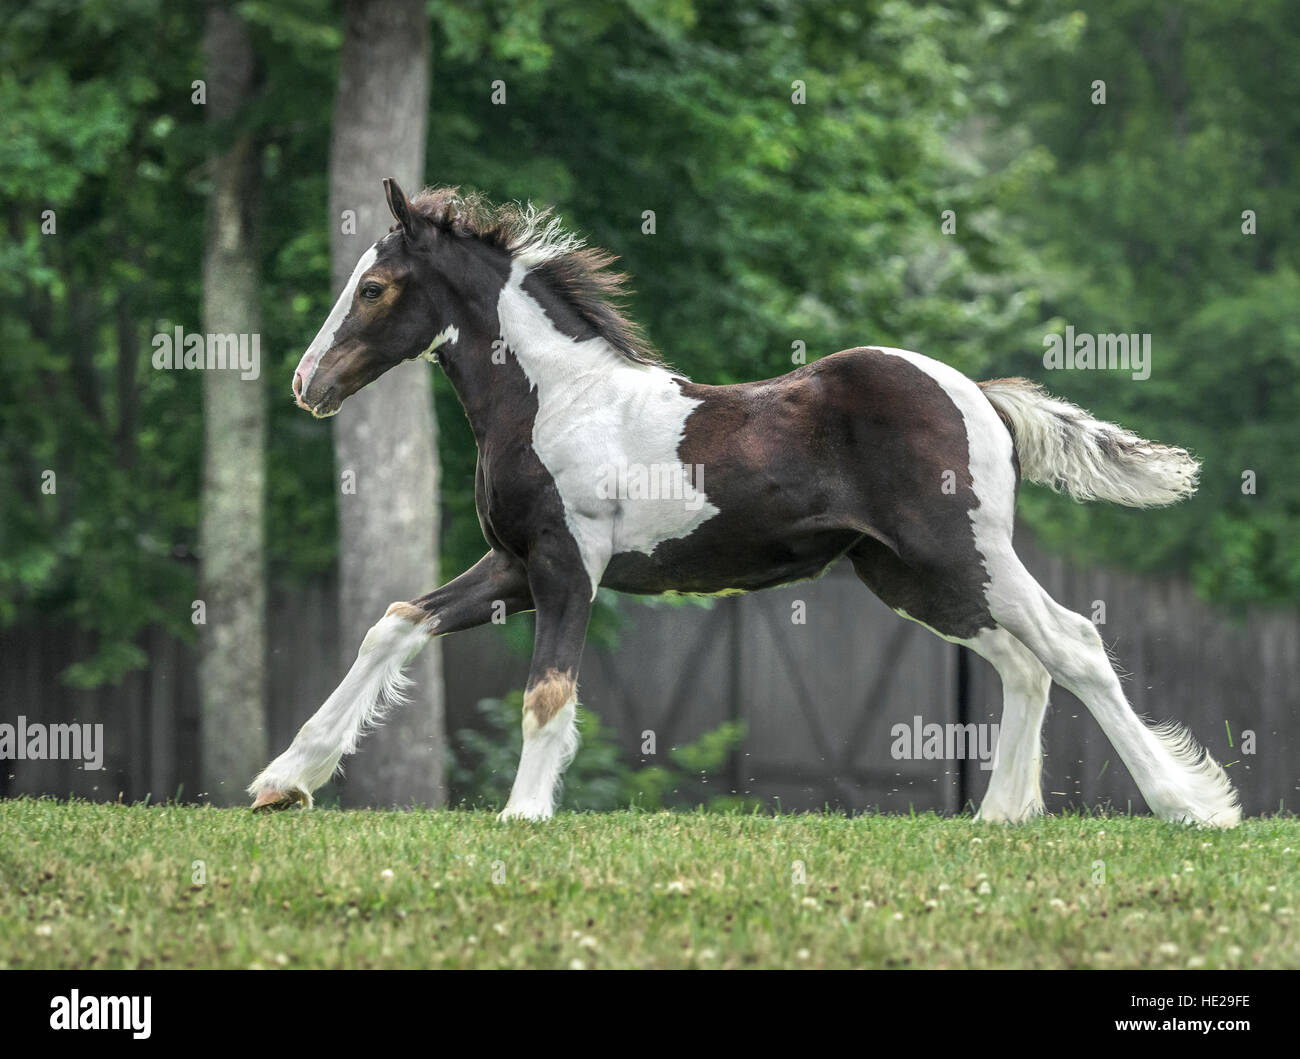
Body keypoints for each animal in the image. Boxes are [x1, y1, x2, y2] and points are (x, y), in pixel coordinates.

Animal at [248, 177, 1240, 828]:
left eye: (373, 287)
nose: (306, 383)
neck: (554, 400)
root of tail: (982, 396)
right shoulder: (514, 565)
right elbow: (394, 622)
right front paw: (285, 778)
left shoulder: (571, 566)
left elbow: (547, 687)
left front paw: (524, 814)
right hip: (910, 576)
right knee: (1023, 664)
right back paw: (1001, 817)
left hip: (966, 552)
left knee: (1073, 643)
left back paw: (1187, 804)